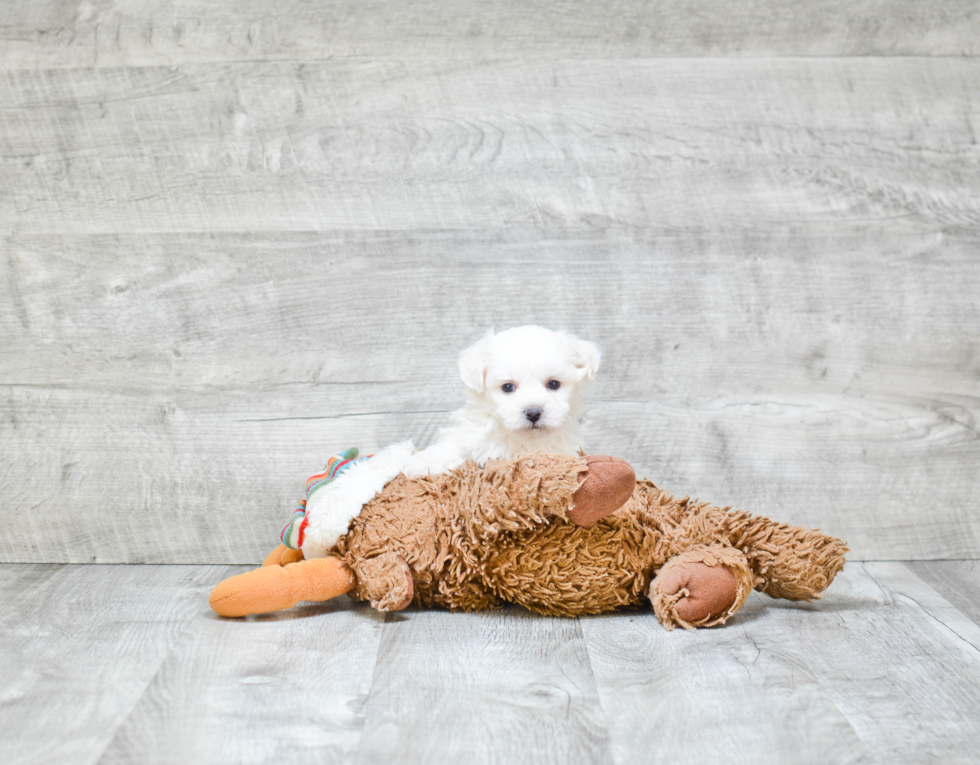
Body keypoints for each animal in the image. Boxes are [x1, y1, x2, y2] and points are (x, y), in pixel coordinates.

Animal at [302, 326, 600, 560]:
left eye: (554, 384)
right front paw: (421, 462)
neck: (517, 440)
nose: (534, 412)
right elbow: (449, 450)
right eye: (507, 387)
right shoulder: (469, 439)